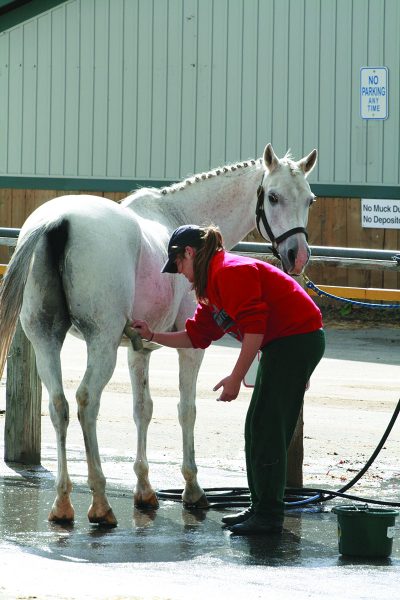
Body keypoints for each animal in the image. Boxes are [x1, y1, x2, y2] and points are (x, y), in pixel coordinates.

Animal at [0, 144, 316, 524]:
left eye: (310, 199)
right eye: (273, 196)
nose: (297, 255)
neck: (181, 218)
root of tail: (57, 222)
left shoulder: (138, 349)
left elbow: (143, 409)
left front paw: (145, 491)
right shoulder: (191, 347)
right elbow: (186, 409)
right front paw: (192, 490)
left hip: (46, 339)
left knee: (59, 405)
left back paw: (63, 504)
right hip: (100, 343)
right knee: (86, 403)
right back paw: (100, 503)